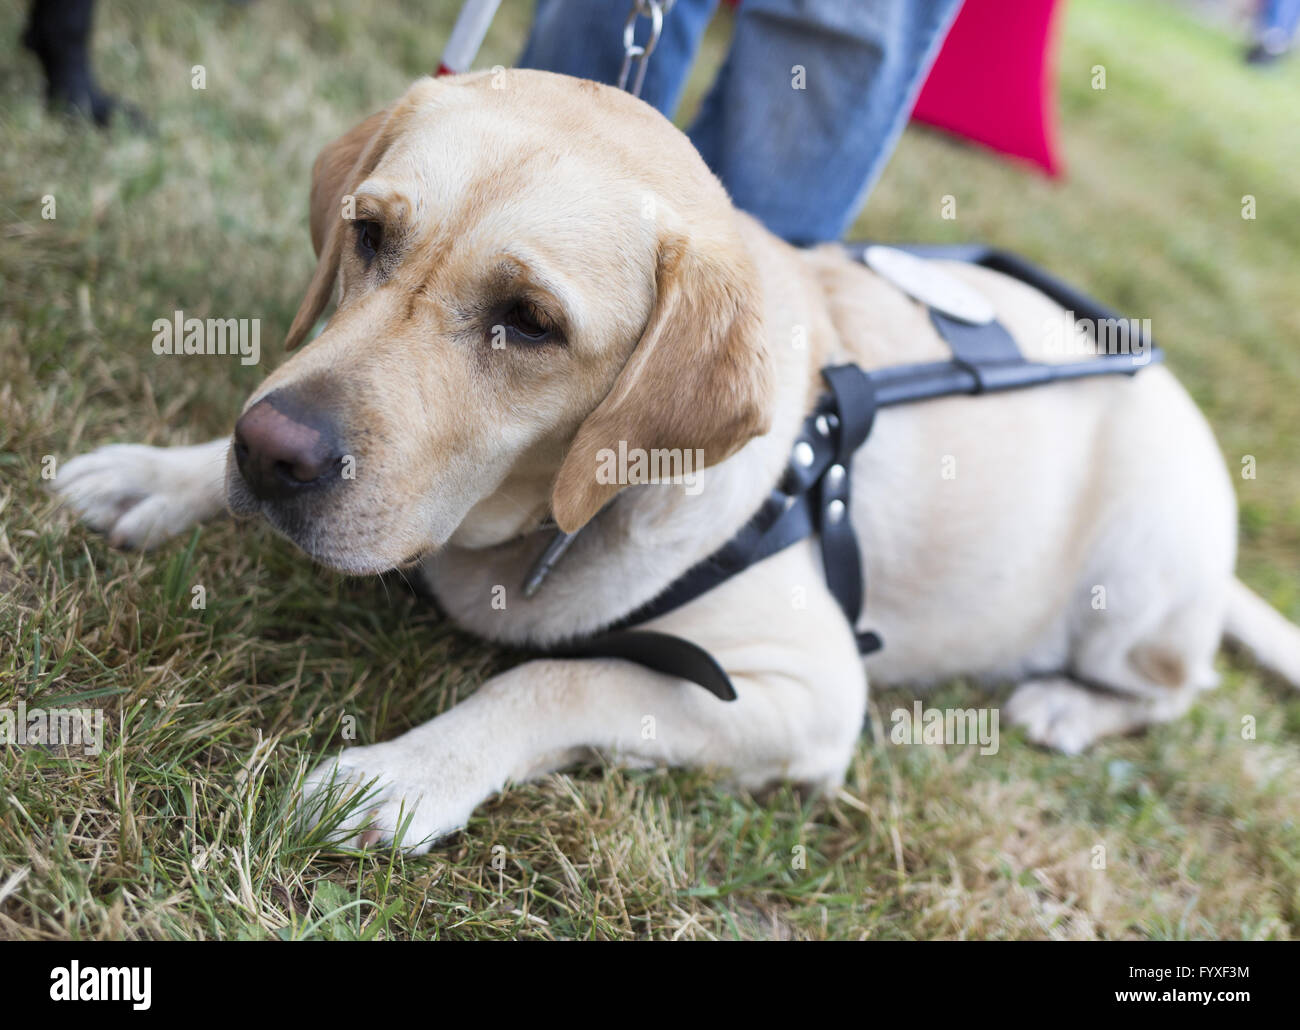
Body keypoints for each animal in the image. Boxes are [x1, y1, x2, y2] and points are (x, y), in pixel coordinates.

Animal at [53, 70, 1300, 853]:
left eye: (528, 322)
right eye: (366, 235)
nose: (273, 457)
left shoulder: (807, 692)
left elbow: (555, 678)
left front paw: (400, 774)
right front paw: (161, 472)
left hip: (1135, 584)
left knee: (1172, 688)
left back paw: (1068, 707)